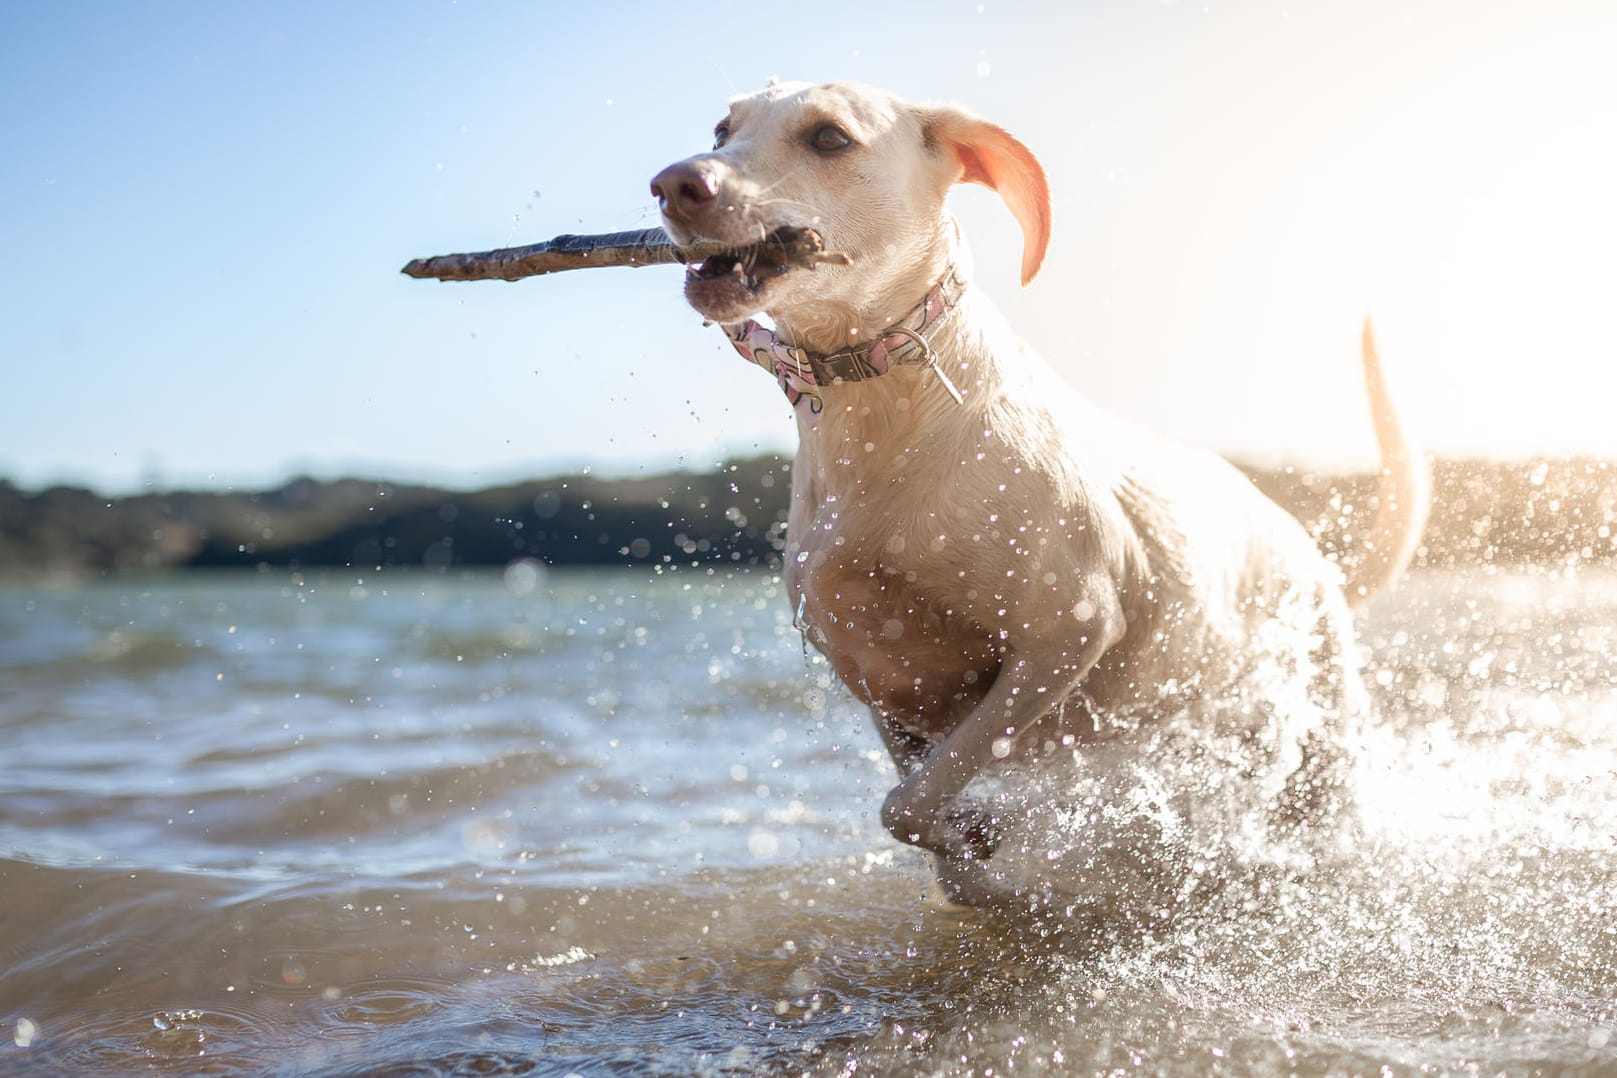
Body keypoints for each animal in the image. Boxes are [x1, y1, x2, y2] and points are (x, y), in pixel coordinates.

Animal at [646, 80, 1429, 911]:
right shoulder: (880, 683)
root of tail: (1311, 551)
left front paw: (983, 839)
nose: (674, 184)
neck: (884, 413)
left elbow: (913, 798)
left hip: (1317, 724)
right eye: (721, 129)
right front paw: (969, 848)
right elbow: (919, 810)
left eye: (828, 137)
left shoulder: (1066, 632)